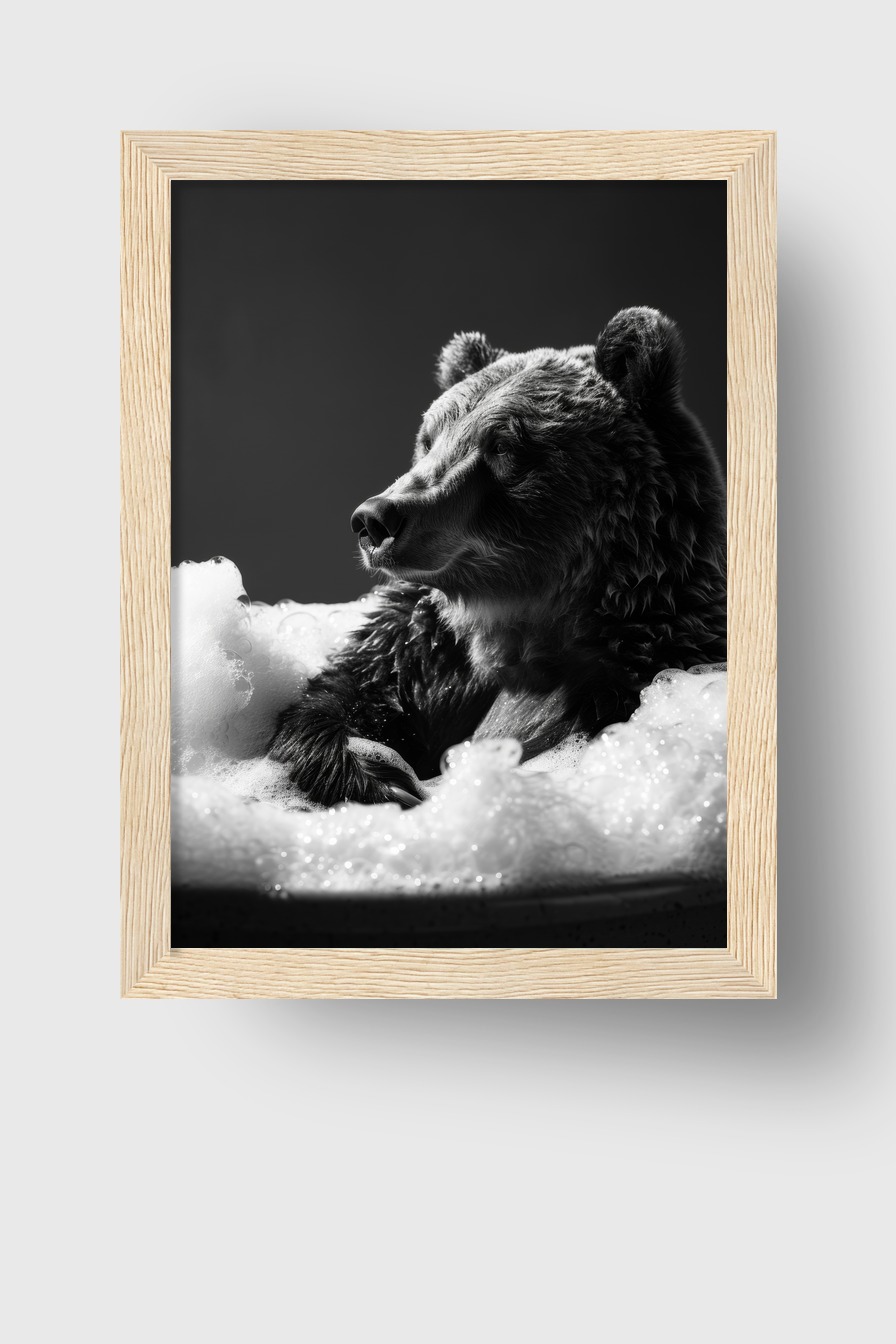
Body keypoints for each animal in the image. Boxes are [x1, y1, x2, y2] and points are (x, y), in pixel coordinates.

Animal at [269, 307, 726, 808]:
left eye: (504, 445)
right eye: (429, 438)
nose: (376, 518)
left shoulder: (636, 665)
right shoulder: (423, 652)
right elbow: (344, 693)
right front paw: (374, 769)